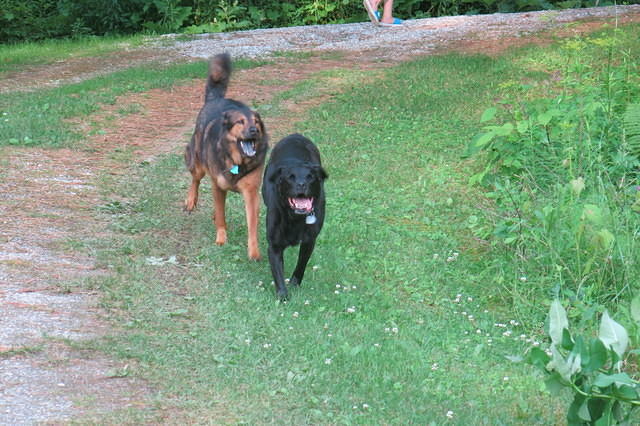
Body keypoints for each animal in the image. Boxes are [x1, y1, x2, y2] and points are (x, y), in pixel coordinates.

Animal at [185, 53, 268, 260]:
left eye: (256, 122)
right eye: (240, 122)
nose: (254, 130)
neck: (237, 160)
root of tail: (214, 99)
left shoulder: (251, 192)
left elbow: (252, 224)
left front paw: (254, 252)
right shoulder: (217, 185)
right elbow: (221, 216)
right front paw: (221, 239)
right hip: (198, 164)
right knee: (195, 180)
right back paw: (191, 200)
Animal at [262, 133, 328, 300]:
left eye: (310, 177)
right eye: (290, 177)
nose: (301, 184)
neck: (295, 219)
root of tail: (296, 135)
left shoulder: (309, 240)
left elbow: (301, 264)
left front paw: (294, 283)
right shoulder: (274, 245)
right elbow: (278, 273)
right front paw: (283, 296)